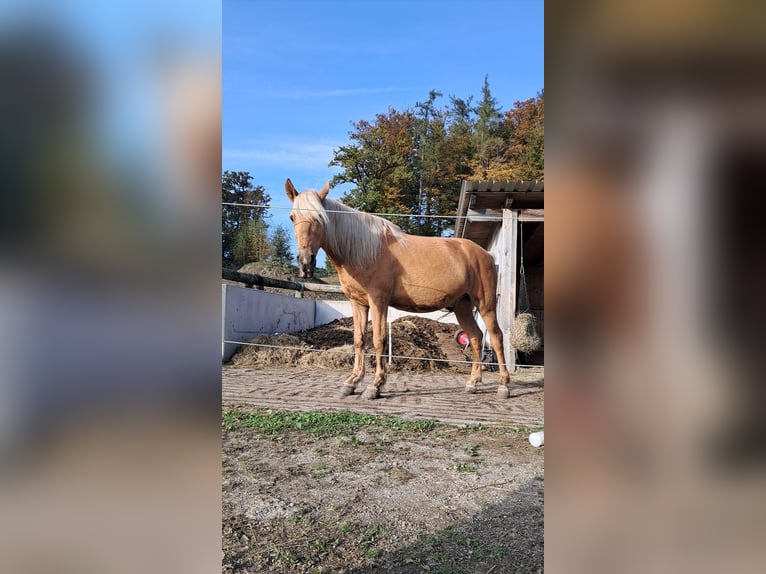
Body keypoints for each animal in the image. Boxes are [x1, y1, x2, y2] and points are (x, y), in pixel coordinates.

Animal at [285, 178, 511, 399]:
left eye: (319, 217)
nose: (305, 262)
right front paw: (352, 382)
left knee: (496, 337)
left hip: (486, 305)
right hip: (462, 307)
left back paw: (503, 386)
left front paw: (375, 386)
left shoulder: (379, 301)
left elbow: (378, 340)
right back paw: (473, 383)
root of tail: (485, 254)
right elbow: (359, 340)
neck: (364, 251)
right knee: (476, 337)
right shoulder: (358, 303)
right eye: (292, 217)